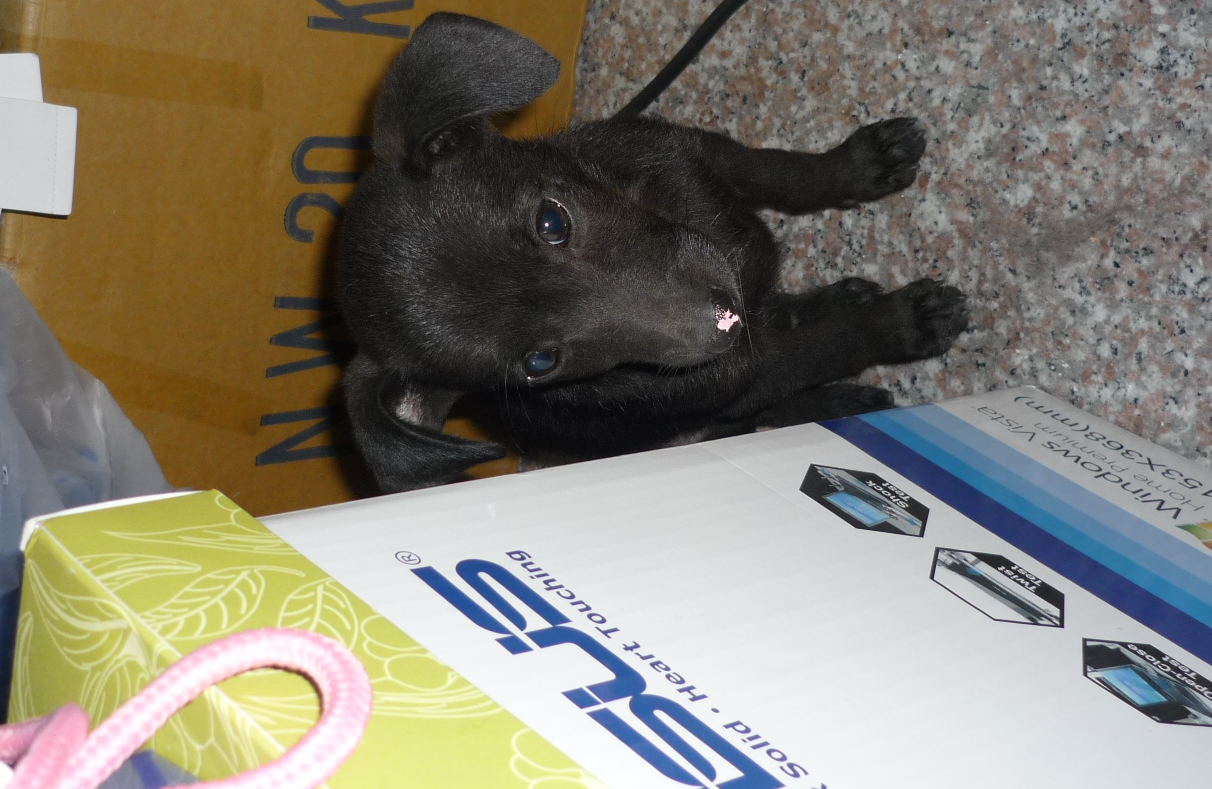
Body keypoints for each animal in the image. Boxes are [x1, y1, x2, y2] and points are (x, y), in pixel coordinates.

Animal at [336, 12, 969, 494]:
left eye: (551, 221)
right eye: (539, 363)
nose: (723, 322)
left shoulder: (698, 153)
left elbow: (783, 171)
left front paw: (859, 164)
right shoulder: (747, 370)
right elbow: (825, 346)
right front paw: (904, 322)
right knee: (770, 410)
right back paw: (845, 394)